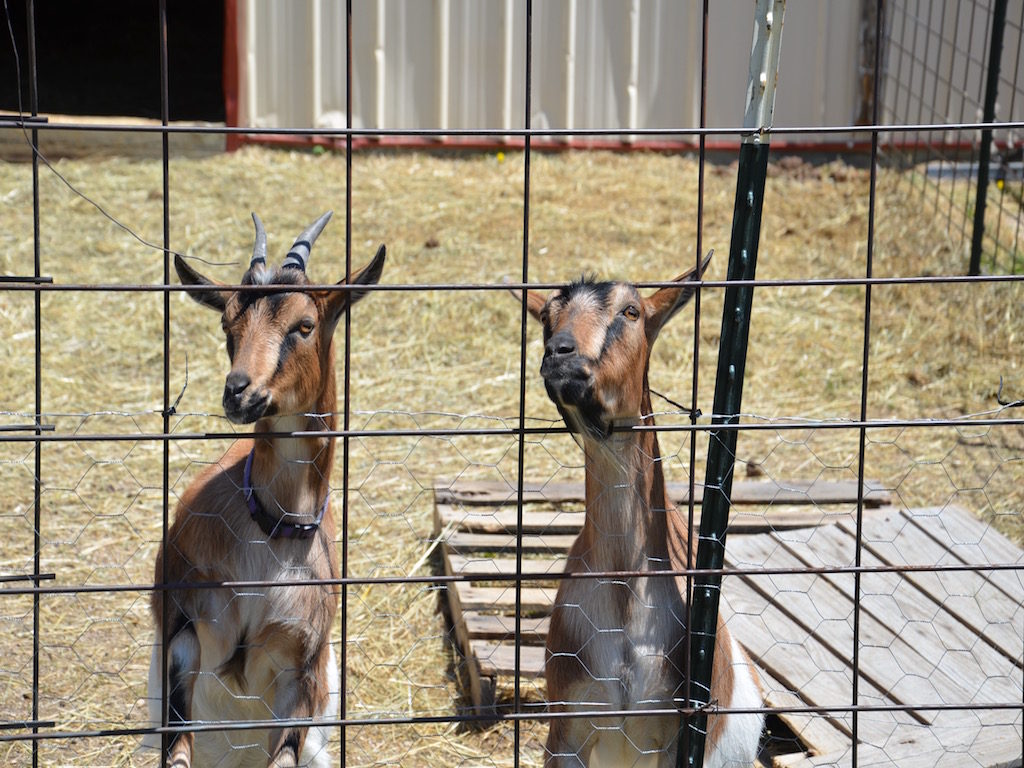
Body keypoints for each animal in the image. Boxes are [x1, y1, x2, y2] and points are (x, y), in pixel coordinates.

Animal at [146, 212, 385, 768]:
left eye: (305, 324)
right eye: (228, 325)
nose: (239, 391)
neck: (272, 533)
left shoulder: (301, 672)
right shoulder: (185, 632)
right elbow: (177, 750)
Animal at [513, 254, 763, 767]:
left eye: (631, 311)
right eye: (546, 315)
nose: (560, 355)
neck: (627, 595)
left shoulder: (675, 734)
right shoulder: (567, 728)